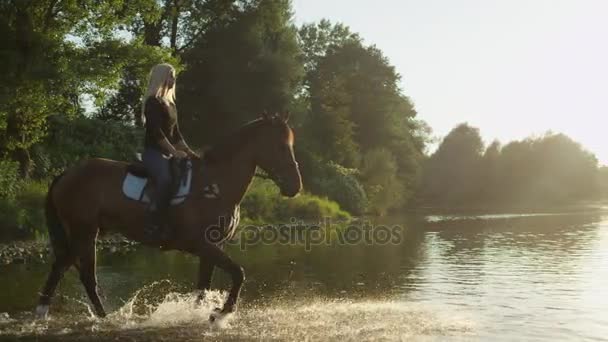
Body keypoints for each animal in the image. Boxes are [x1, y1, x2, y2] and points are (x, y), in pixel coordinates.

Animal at [35, 112, 302, 320]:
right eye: (280, 146)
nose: (295, 186)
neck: (215, 184)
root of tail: (67, 174)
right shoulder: (202, 245)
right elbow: (238, 273)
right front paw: (224, 312)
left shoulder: (212, 247)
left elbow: (202, 287)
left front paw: (200, 313)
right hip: (84, 233)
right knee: (84, 275)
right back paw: (100, 319)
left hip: (83, 233)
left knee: (64, 268)